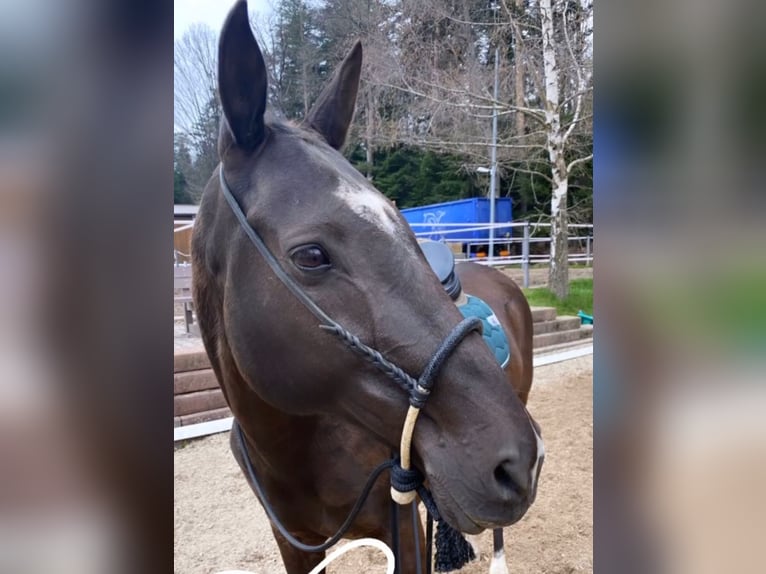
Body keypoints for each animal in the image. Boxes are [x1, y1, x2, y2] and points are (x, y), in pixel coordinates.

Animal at [192, 2, 544, 572]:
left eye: (403, 223)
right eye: (311, 255)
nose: (516, 459)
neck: (293, 456)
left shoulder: (405, 529)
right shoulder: (293, 541)